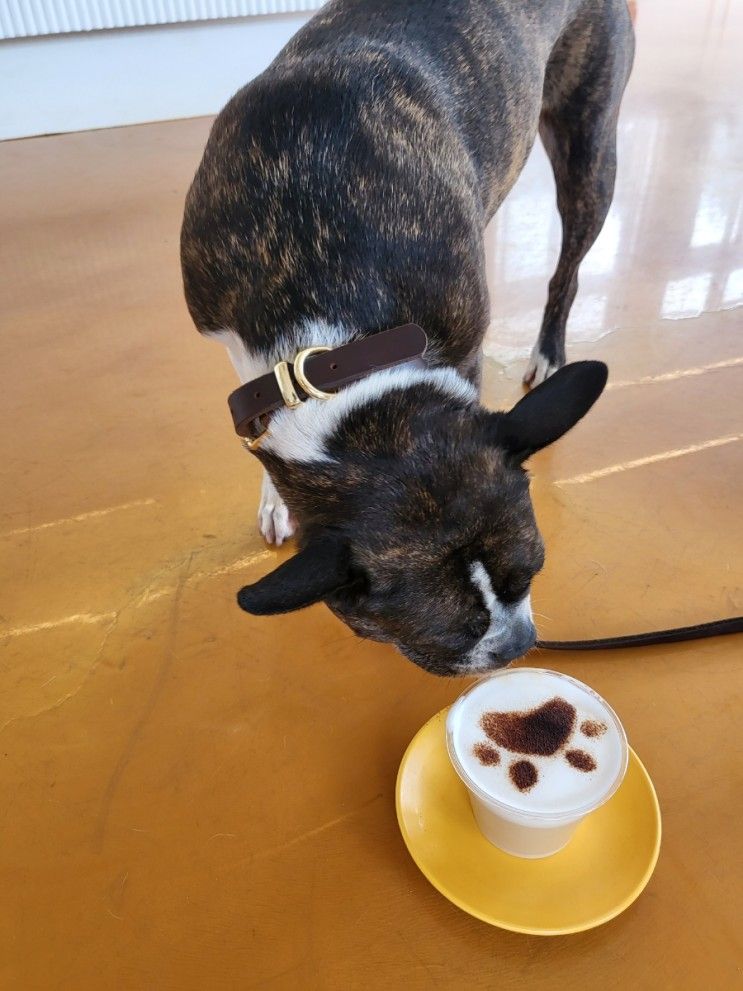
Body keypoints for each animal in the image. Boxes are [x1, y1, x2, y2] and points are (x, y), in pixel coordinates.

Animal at [179, 0, 632, 676]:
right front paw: (273, 494)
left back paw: (550, 350)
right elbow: (258, 419)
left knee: (568, 269)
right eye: (449, 634)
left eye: (533, 573)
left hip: (589, 147)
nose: (518, 645)